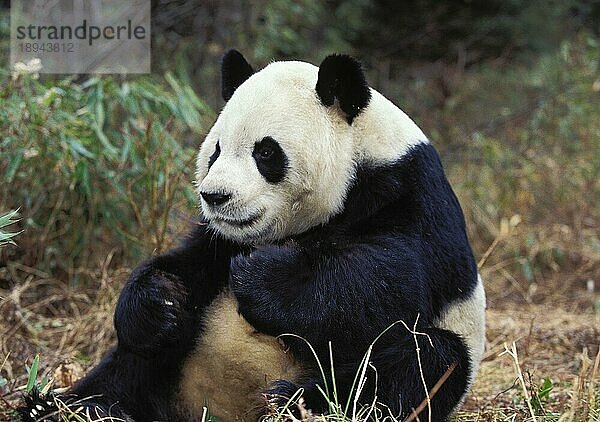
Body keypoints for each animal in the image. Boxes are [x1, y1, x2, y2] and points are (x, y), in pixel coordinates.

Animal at [21, 50, 486, 422]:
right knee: (133, 364)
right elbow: (187, 264)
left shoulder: (410, 195)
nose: (214, 196)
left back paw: (296, 400)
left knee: (420, 362)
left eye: (266, 153)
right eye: (215, 151)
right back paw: (65, 407)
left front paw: (261, 276)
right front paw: (160, 302)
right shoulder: (221, 239)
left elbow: (388, 283)